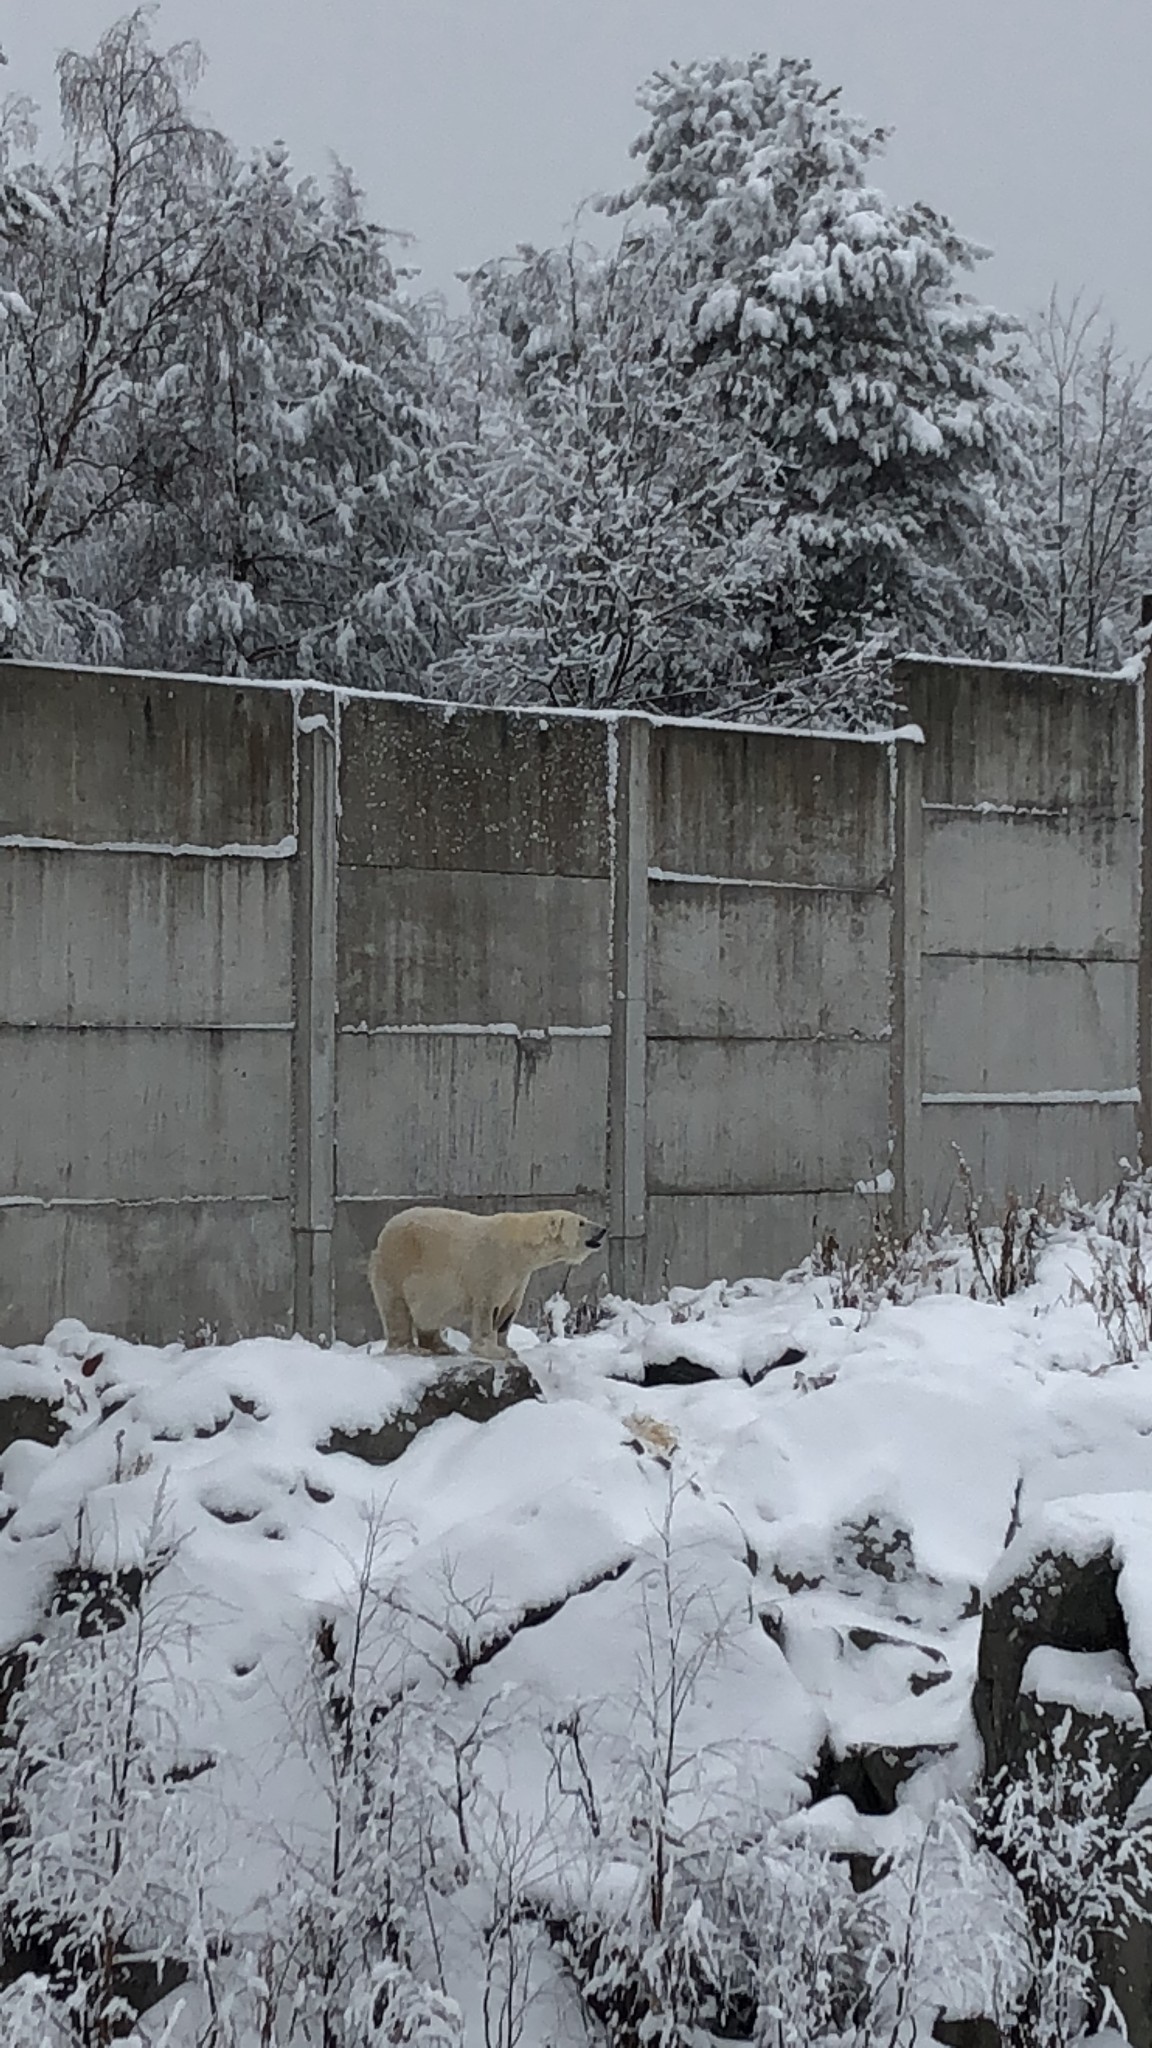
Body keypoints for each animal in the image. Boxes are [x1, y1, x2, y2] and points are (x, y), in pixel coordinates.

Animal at [366, 1196, 606, 1359]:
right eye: (582, 1222)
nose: (602, 1229)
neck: (519, 1247)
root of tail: (381, 1236)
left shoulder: (519, 1276)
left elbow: (509, 1309)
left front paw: (508, 1348)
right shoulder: (492, 1265)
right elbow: (488, 1307)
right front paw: (492, 1350)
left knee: (429, 1314)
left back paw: (443, 1347)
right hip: (397, 1265)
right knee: (396, 1309)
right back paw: (410, 1348)